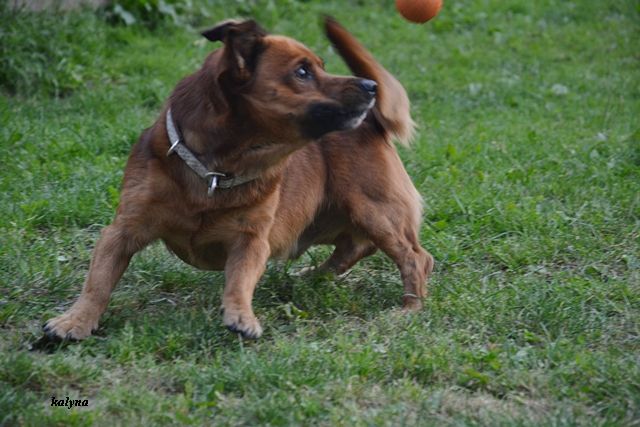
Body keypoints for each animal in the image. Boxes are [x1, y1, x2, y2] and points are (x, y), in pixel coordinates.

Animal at [43, 17, 434, 340]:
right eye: (303, 72)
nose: (370, 86)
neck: (216, 170)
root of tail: (373, 123)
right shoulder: (122, 231)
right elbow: (98, 282)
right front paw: (75, 321)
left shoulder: (252, 240)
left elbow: (239, 280)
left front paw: (240, 315)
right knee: (355, 247)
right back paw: (315, 276)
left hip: (374, 209)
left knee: (415, 257)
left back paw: (409, 308)